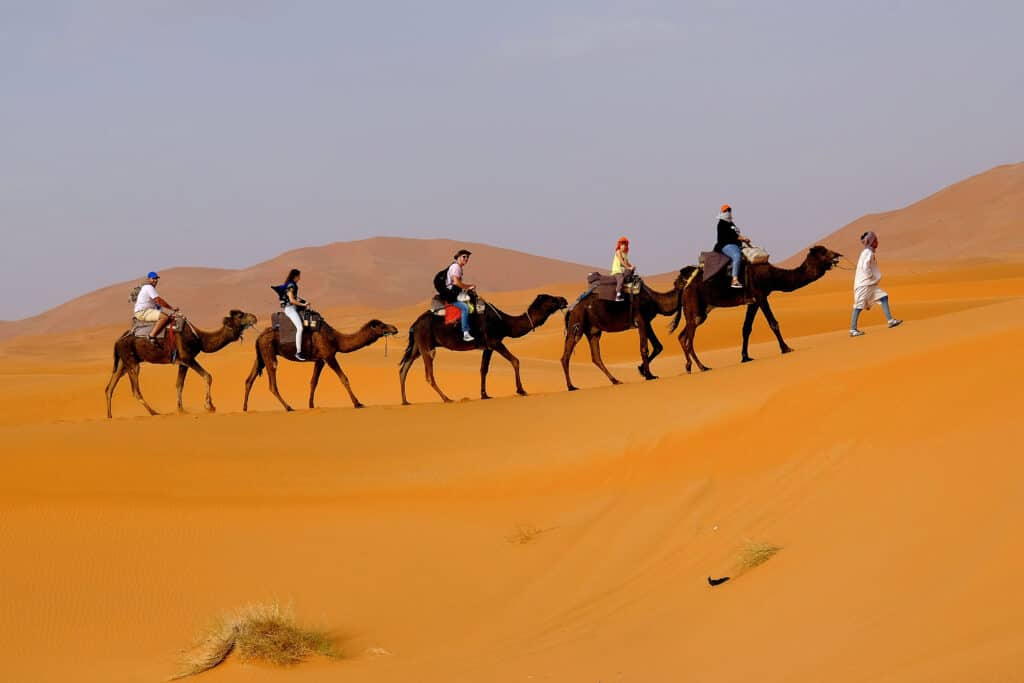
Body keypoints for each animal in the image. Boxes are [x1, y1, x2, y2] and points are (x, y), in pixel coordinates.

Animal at [105, 309, 258, 417]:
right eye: (241, 315)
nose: (254, 317)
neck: (200, 338)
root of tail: (117, 341)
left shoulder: (182, 363)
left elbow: (179, 385)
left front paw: (181, 409)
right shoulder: (187, 358)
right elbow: (208, 376)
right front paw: (209, 406)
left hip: (123, 362)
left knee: (109, 387)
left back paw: (109, 415)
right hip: (131, 362)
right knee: (135, 390)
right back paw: (154, 412)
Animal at [241, 317, 397, 411]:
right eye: (382, 325)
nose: (394, 328)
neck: (336, 339)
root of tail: (259, 337)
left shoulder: (320, 360)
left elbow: (313, 382)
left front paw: (311, 405)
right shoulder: (329, 356)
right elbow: (344, 378)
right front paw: (357, 403)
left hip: (261, 356)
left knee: (249, 380)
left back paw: (245, 408)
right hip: (269, 352)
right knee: (272, 384)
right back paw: (288, 407)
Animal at [397, 294, 569, 405]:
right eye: (552, 299)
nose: (564, 299)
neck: (504, 322)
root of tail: (415, 324)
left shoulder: (488, 347)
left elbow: (483, 369)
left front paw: (484, 395)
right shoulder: (495, 341)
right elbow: (515, 360)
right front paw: (521, 390)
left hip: (417, 346)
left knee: (404, 369)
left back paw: (405, 401)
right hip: (426, 344)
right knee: (428, 374)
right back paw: (447, 398)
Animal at [561, 270, 696, 393]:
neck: (655, 300)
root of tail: (571, 308)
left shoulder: (647, 322)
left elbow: (658, 346)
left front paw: (642, 370)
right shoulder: (641, 320)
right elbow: (644, 348)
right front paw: (649, 375)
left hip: (593, 331)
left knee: (596, 357)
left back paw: (615, 380)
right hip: (577, 324)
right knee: (566, 356)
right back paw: (571, 386)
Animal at [667, 245, 843, 370]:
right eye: (823, 252)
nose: (837, 254)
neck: (773, 276)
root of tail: (684, 285)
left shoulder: (753, 302)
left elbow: (746, 328)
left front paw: (745, 357)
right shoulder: (761, 296)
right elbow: (773, 323)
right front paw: (786, 348)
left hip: (700, 311)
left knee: (682, 336)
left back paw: (689, 366)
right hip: (694, 306)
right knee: (689, 339)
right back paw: (702, 366)